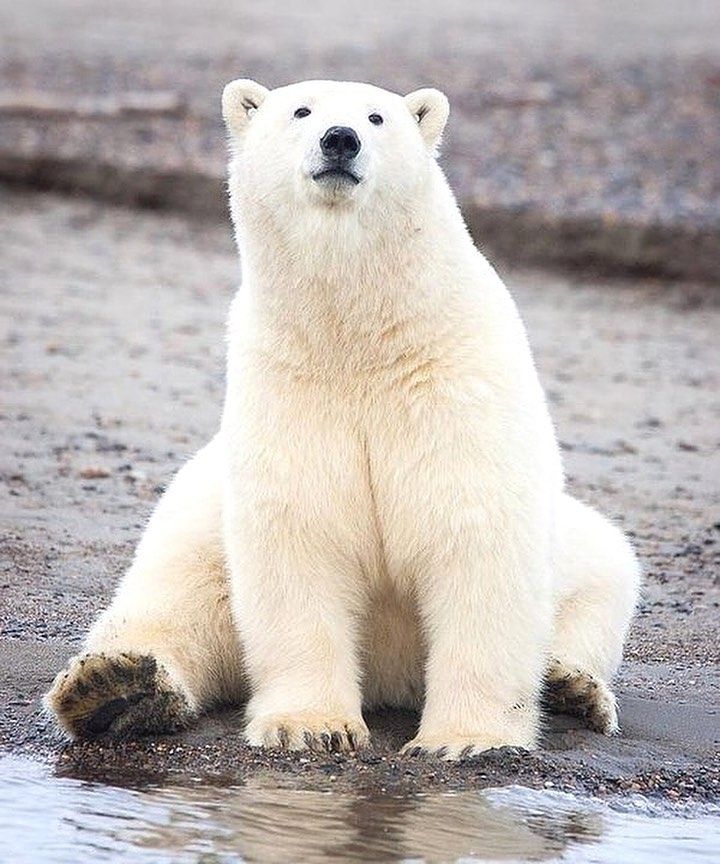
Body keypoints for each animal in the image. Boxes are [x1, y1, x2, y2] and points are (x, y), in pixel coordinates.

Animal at [46, 79, 640, 756]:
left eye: (377, 117)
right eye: (301, 110)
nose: (340, 139)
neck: (360, 340)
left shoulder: (457, 388)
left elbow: (476, 541)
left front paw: (465, 739)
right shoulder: (289, 387)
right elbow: (300, 539)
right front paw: (311, 727)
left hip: (583, 550)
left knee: (606, 580)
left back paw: (571, 687)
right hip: (194, 513)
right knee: (174, 599)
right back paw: (113, 688)